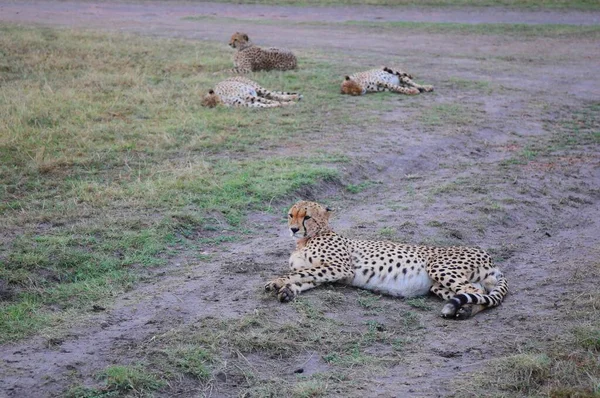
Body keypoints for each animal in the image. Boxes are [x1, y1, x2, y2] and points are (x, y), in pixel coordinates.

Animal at [264, 201, 508, 318]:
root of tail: (491, 259)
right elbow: (305, 278)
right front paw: (287, 290)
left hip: (438, 266)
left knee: (475, 292)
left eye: (306, 217)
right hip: (438, 286)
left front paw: (277, 281)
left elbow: (299, 273)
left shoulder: (340, 267)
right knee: (478, 293)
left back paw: (464, 311)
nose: (293, 229)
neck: (306, 239)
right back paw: (462, 309)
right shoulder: (329, 272)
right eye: (291, 215)